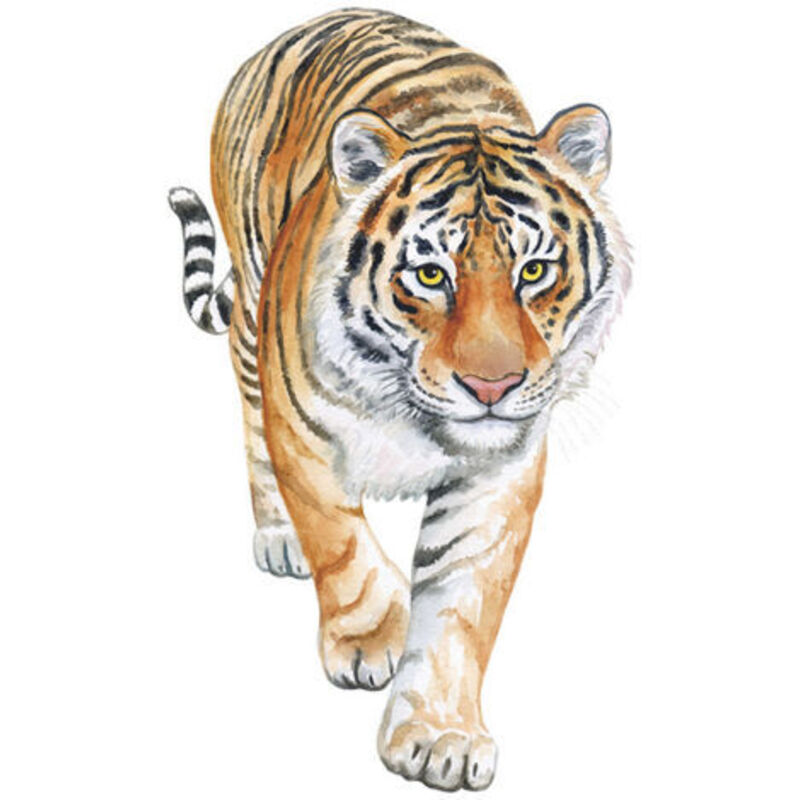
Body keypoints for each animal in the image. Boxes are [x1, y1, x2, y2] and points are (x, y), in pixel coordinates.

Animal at [168, 7, 630, 792]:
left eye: (535, 271)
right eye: (431, 275)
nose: (492, 386)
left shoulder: (498, 471)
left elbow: (460, 604)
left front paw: (441, 735)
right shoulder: (303, 431)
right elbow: (341, 544)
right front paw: (368, 639)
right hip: (253, 316)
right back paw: (279, 537)